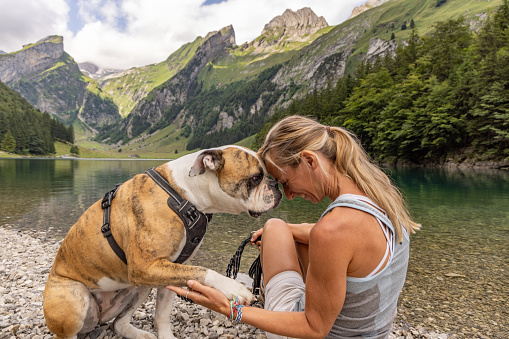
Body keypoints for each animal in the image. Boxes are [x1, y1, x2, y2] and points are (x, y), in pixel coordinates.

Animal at [43, 146, 282, 339]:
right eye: (256, 178)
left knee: (118, 323)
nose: (276, 185)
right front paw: (233, 287)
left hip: (138, 287)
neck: (186, 194)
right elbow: (204, 271)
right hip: (76, 298)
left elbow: (163, 315)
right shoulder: (147, 267)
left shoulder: (170, 268)